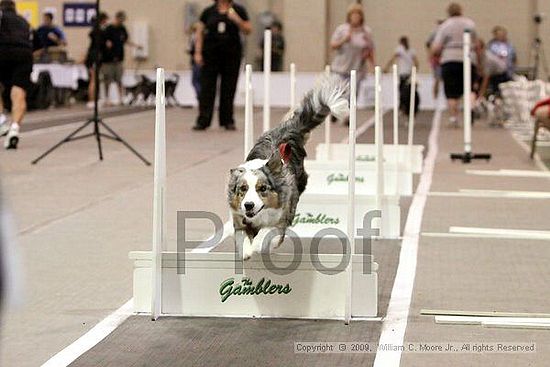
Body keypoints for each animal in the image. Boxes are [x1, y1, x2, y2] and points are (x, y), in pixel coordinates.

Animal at [227, 78, 350, 260]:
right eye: (243, 189)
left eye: (262, 188)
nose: (248, 205)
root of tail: (288, 129)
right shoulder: (239, 217)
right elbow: (242, 234)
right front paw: (246, 250)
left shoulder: (282, 217)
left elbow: (268, 233)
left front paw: (257, 246)